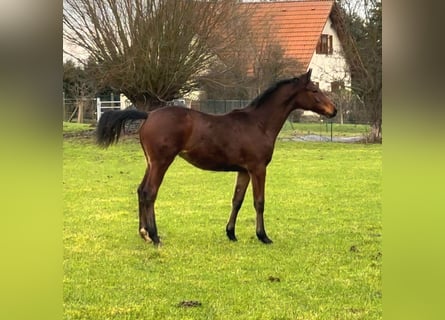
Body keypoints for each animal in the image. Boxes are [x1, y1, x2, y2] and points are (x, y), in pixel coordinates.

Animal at [95, 69, 334, 245]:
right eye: (314, 90)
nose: (334, 110)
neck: (258, 123)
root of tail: (149, 114)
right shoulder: (258, 168)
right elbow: (259, 202)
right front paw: (263, 236)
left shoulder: (243, 170)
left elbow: (237, 200)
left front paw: (231, 233)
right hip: (161, 162)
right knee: (149, 192)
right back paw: (154, 236)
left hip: (150, 163)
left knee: (140, 190)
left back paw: (143, 233)